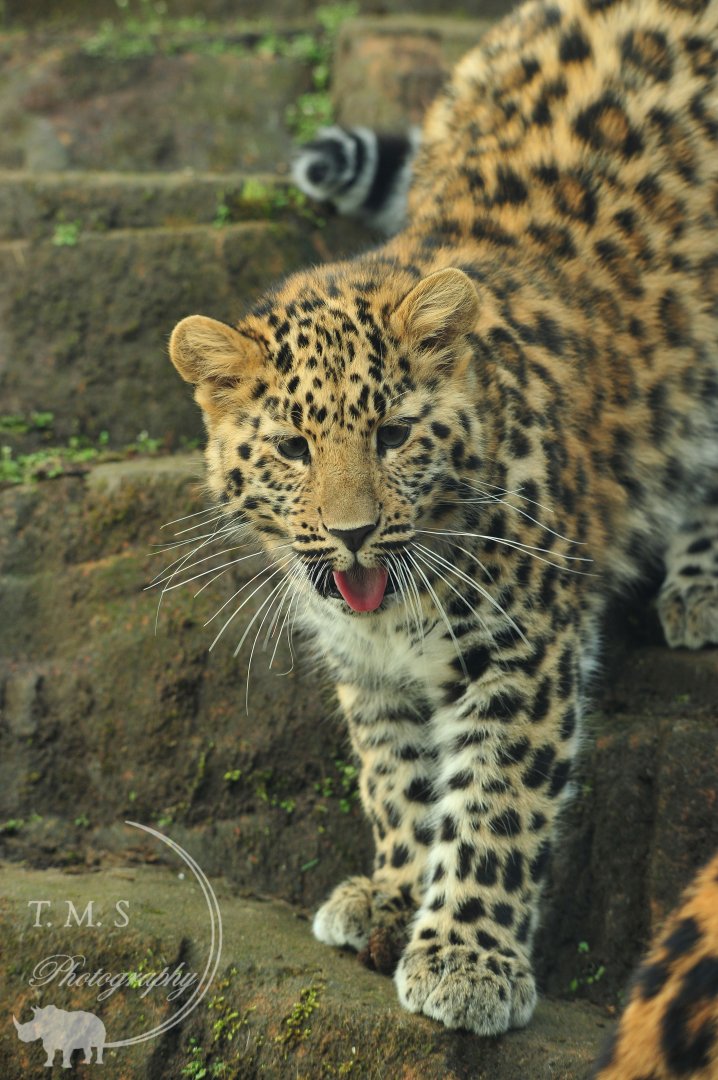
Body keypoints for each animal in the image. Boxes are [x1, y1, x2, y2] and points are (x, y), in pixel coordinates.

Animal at [167, 0, 718, 1038]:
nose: (350, 534)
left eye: (392, 435)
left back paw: (701, 585)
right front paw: (392, 895)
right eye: (293, 448)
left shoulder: (523, 648)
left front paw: (467, 959)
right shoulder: (368, 667)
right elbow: (399, 782)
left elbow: (495, 802)